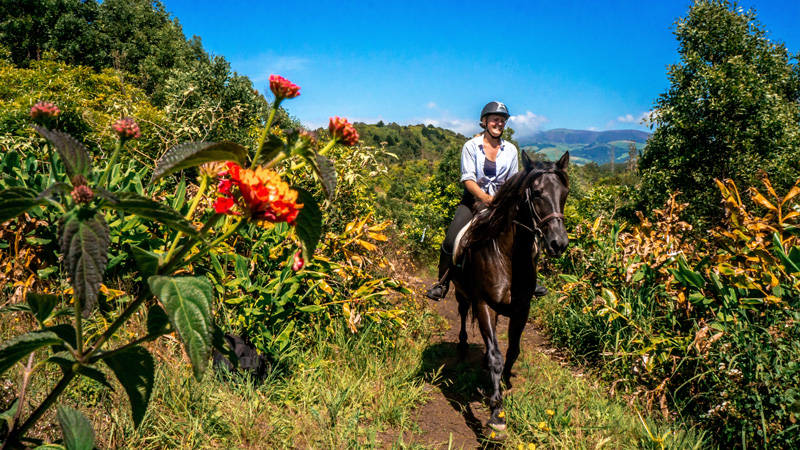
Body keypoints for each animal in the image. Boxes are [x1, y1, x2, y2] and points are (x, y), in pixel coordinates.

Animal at [450, 151, 568, 436]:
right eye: (536, 193)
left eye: (565, 193)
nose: (558, 244)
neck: (506, 256)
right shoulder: (484, 305)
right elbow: (495, 356)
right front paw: (497, 412)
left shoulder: (521, 309)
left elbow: (512, 351)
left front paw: (504, 384)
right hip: (461, 293)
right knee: (462, 313)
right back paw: (462, 345)